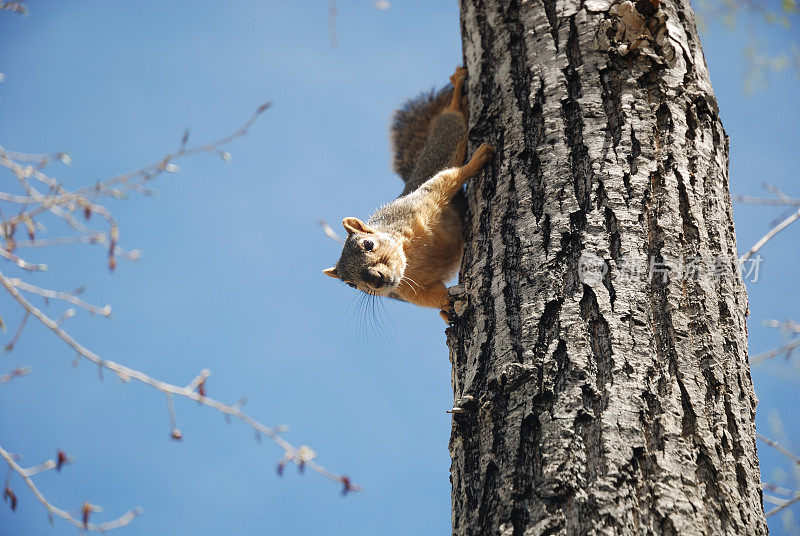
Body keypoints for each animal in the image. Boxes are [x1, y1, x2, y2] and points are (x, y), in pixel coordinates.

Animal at [322, 64, 490, 320]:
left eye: (368, 244)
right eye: (351, 284)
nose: (374, 280)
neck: (410, 257)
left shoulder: (420, 203)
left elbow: (448, 178)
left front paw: (478, 160)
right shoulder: (411, 290)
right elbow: (433, 297)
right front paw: (447, 308)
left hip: (444, 141)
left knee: (451, 118)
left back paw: (456, 94)